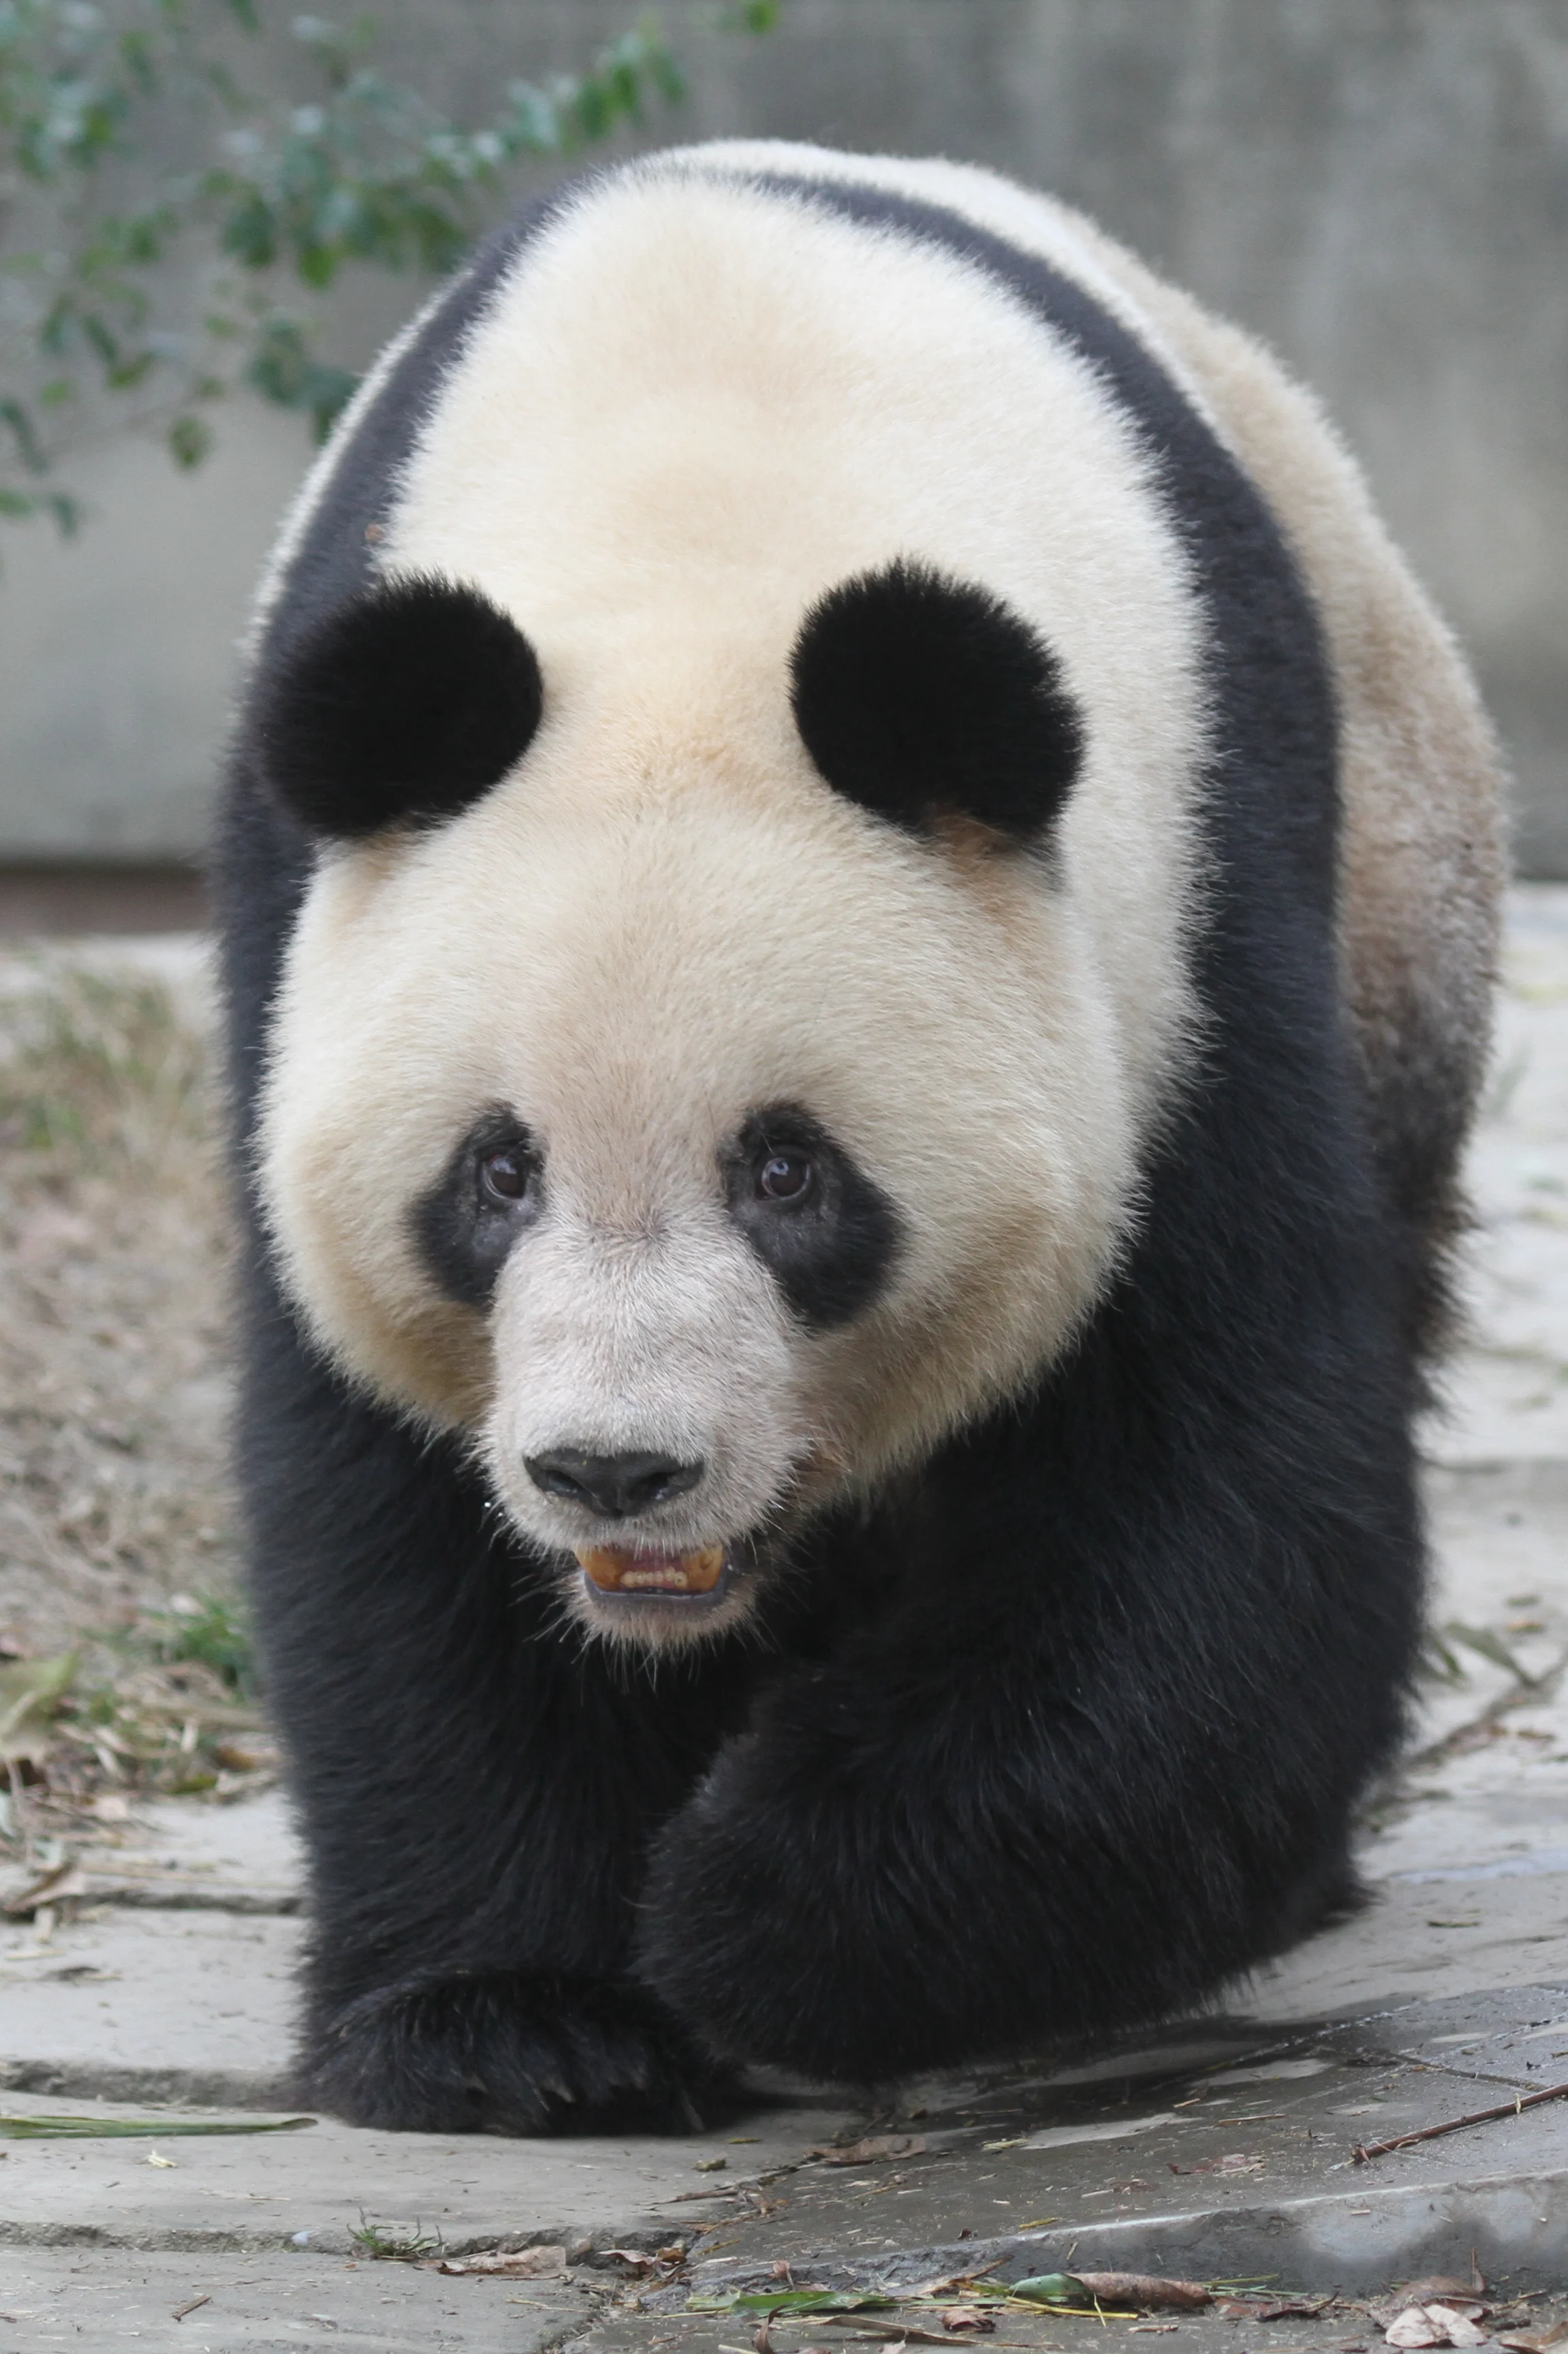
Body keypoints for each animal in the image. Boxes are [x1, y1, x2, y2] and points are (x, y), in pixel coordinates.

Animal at [217, 141, 1505, 2135]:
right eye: (494, 1172)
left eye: (785, 1170)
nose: (615, 1472)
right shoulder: (304, 927)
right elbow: (392, 1523)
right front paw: (516, 2022)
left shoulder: (1190, 927)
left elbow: (1212, 1492)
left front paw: (757, 1908)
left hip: (1396, 908)